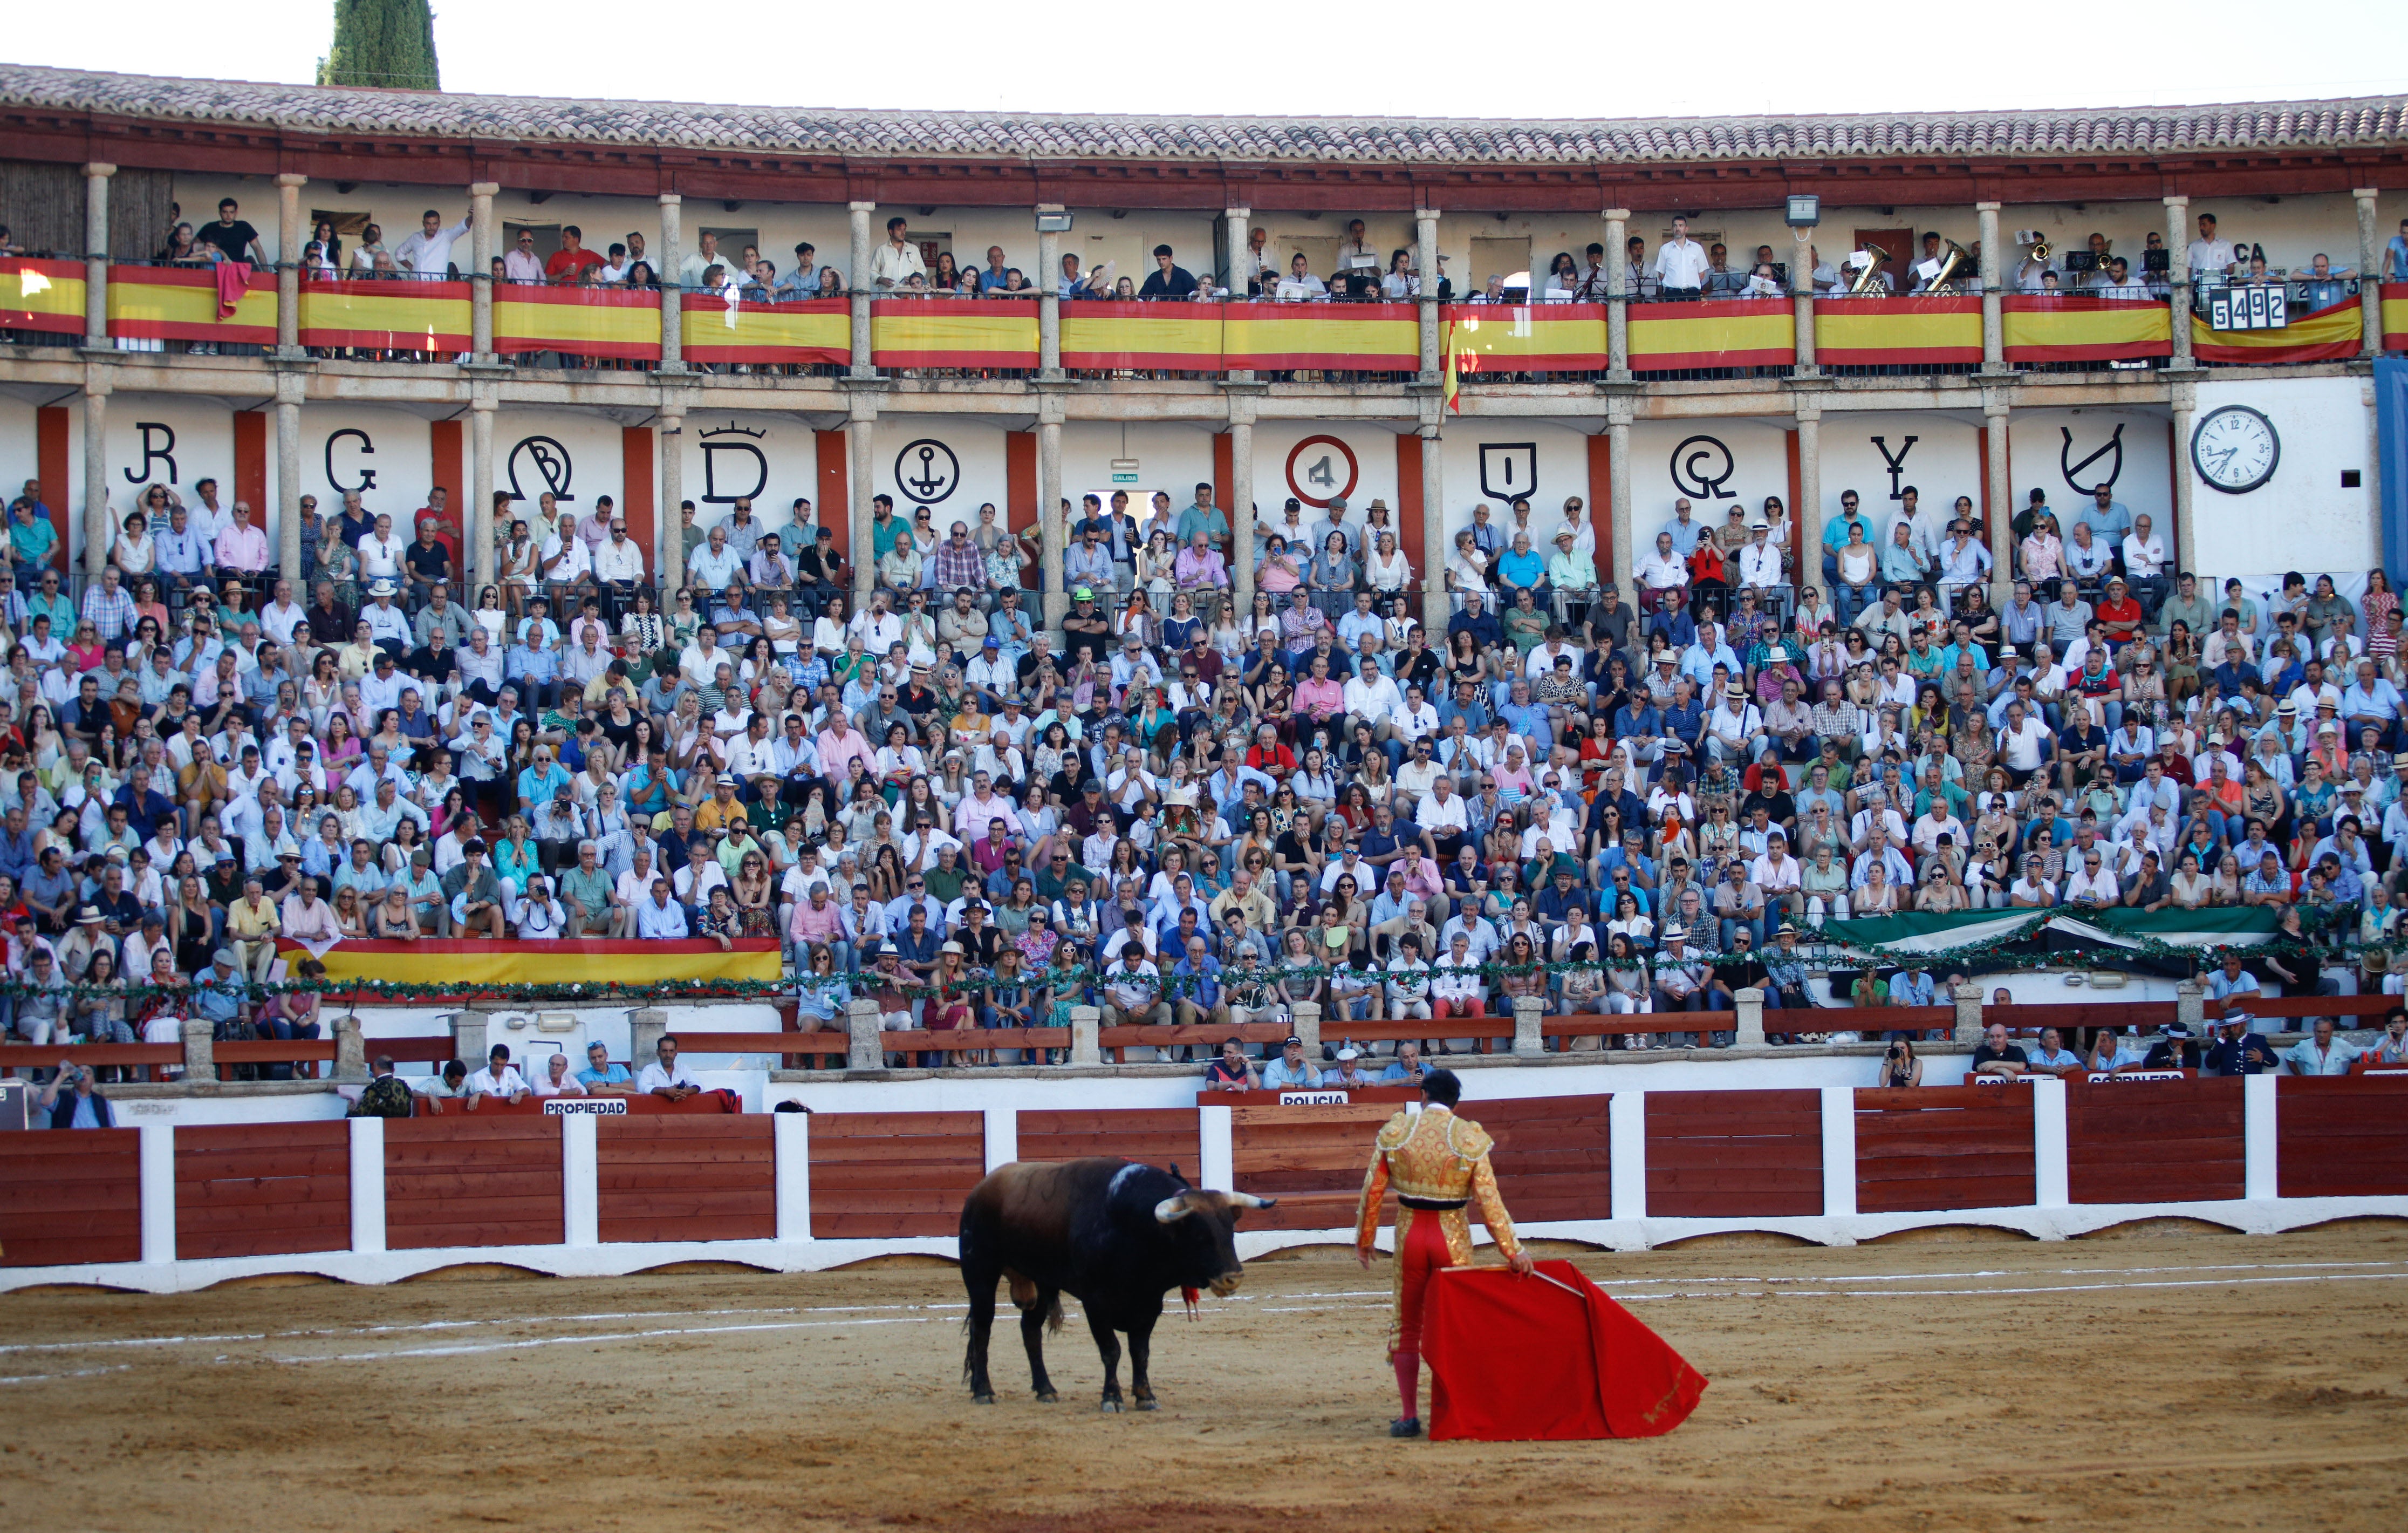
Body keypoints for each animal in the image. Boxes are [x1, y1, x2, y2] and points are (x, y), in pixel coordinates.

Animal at [953, 1157, 1281, 1407]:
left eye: (1230, 1231)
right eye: (1199, 1235)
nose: (1232, 1278)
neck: (1132, 1227)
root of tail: (981, 1189)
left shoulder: (1150, 1303)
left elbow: (1140, 1352)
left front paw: (1145, 1396)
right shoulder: (1095, 1302)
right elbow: (1111, 1350)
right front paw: (1112, 1398)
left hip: (1041, 1282)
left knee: (1030, 1331)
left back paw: (1046, 1390)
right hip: (980, 1272)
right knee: (982, 1328)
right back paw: (983, 1392)